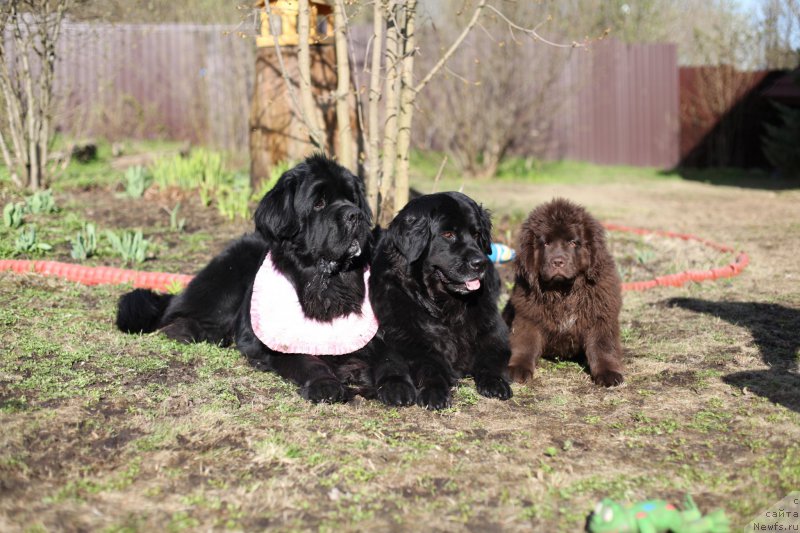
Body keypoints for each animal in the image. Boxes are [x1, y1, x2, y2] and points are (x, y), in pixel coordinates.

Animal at [115, 152, 382, 402]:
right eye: (319, 203)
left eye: (353, 200)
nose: (355, 215)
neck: (326, 283)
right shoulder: (278, 343)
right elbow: (306, 360)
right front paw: (325, 384)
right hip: (228, 279)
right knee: (177, 317)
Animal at [368, 193, 512, 410]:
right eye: (448, 234)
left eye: (477, 234)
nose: (480, 263)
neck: (444, 307)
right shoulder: (410, 341)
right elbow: (431, 365)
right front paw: (435, 392)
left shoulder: (494, 332)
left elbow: (491, 358)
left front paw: (496, 382)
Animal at [500, 197, 624, 384]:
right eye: (546, 243)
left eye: (573, 242)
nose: (558, 262)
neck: (563, 291)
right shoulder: (528, 315)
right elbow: (525, 342)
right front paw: (518, 368)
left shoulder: (600, 314)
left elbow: (603, 345)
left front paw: (608, 372)